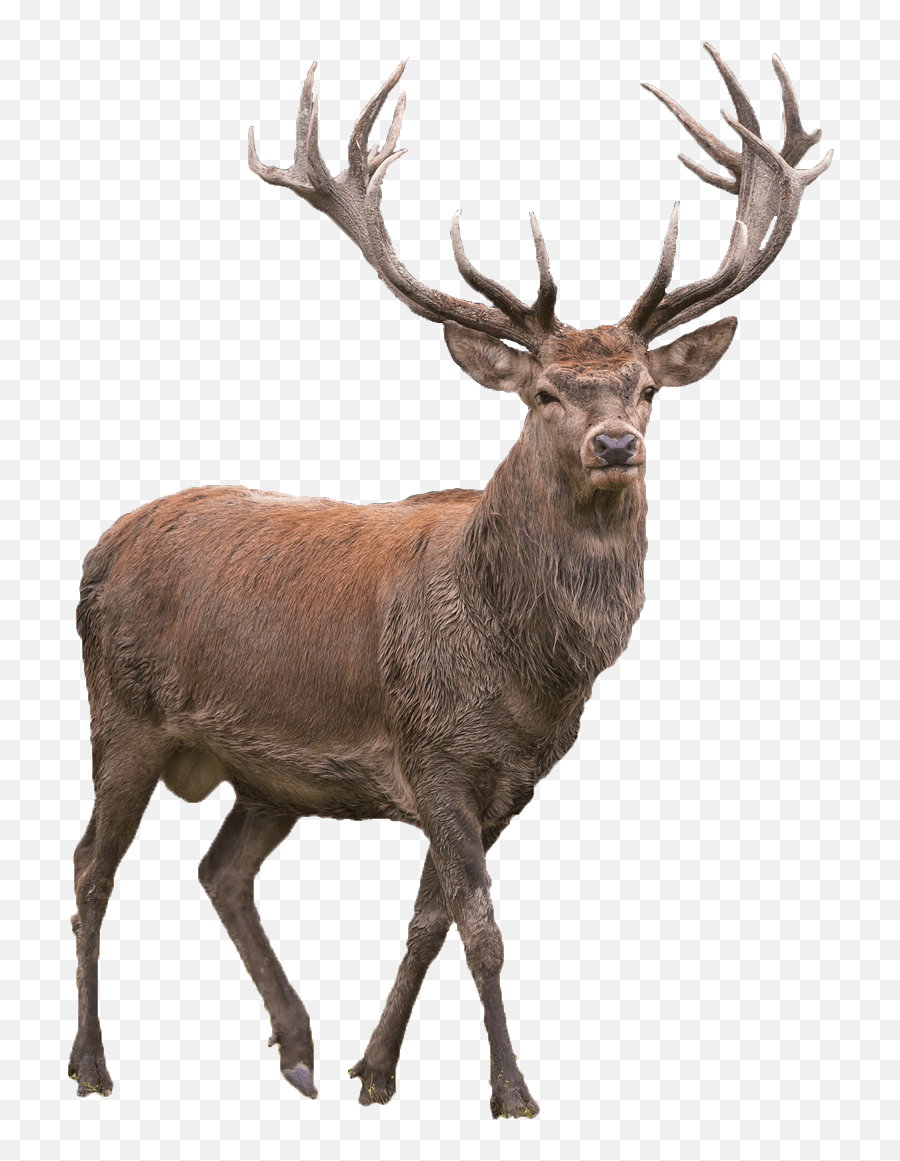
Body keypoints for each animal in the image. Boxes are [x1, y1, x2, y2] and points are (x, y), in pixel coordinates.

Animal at [68, 44, 831, 1117]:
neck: (524, 669)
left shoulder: (506, 777)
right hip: (122, 714)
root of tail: (98, 548)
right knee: (91, 866)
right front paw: (511, 1088)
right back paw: (92, 1062)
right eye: (544, 391)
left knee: (220, 869)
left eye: (646, 387)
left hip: (267, 773)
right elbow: (481, 928)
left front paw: (376, 1069)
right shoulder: (429, 751)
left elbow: (430, 921)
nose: (615, 443)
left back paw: (298, 1048)